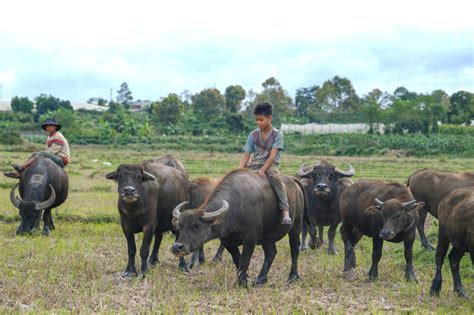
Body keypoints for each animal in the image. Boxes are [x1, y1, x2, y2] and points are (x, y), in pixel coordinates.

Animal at [169, 170, 304, 288]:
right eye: (180, 225)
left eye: (197, 225)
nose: (177, 247)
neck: (236, 209)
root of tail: (294, 181)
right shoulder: (228, 242)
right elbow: (237, 260)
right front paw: (245, 279)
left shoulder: (250, 240)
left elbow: (244, 260)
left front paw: (241, 283)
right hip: (267, 237)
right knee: (271, 253)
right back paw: (261, 280)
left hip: (296, 225)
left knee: (294, 249)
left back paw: (293, 276)